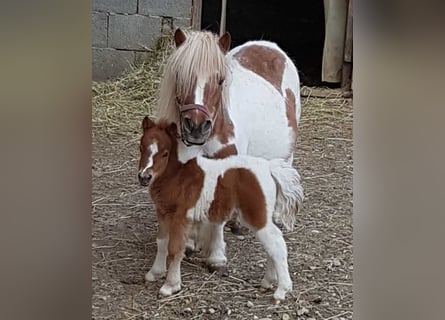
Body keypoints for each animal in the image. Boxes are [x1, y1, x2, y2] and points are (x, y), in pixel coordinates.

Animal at [137, 117, 304, 302]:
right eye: (141, 147)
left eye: (165, 153)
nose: (144, 177)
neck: (179, 175)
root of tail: (268, 167)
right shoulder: (162, 212)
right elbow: (161, 242)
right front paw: (155, 273)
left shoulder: (181, 216)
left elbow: (175, 249)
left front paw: (170, 286)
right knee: (272, 244)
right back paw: (268, 282)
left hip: (257, 216)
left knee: (276, 244)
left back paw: (282, 290)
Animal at [154, 28, 304, 276]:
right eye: (180, 76)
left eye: (220, 80)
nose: (196, 127)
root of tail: (269, 45)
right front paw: (191, 242)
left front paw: (216, 256)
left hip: (286, 153)